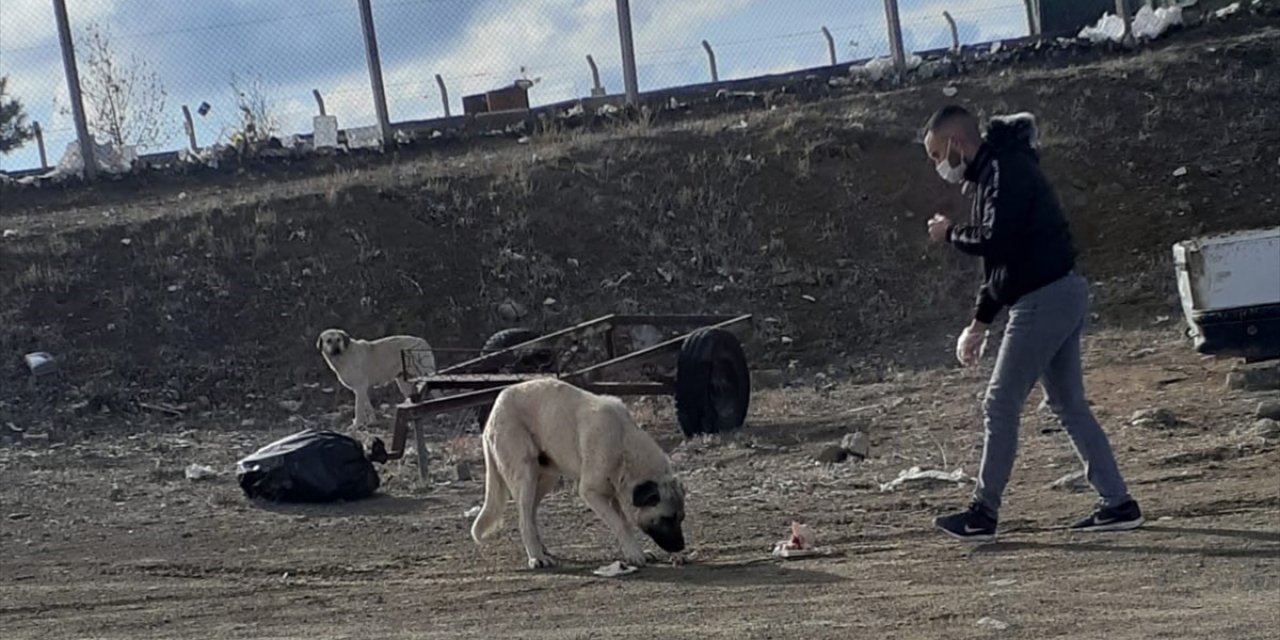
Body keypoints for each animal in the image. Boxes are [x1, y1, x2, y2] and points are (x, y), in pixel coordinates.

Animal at [473, 376, 691, 568]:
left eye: (681, 518)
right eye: (666, 518)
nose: (681, 546)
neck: (623, 445)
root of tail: (493, 413)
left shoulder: (612, 493)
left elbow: (623, 521)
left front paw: (635, 551)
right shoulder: (591, 493)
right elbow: (619, 523)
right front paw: (635, 554)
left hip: (545, 478)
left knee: (531, 515)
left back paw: (541, 549)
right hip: (525, 475)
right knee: (523, 520)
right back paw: (536, 557)